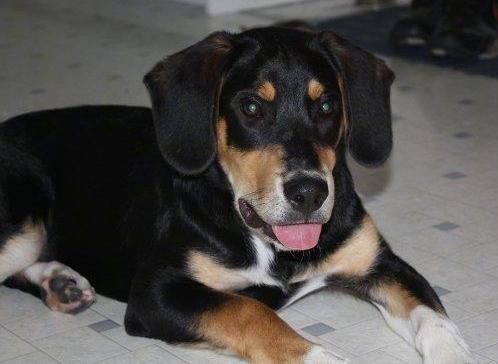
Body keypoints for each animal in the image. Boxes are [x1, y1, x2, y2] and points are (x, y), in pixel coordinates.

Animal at [0, 27, 474, 362]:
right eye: (250, 108)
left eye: (327, 106)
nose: (309, 192)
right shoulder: (156, 293)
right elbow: (249, 311)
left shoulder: (381, 264)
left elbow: (435, 318)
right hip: (25, 226)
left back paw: (60, 283)